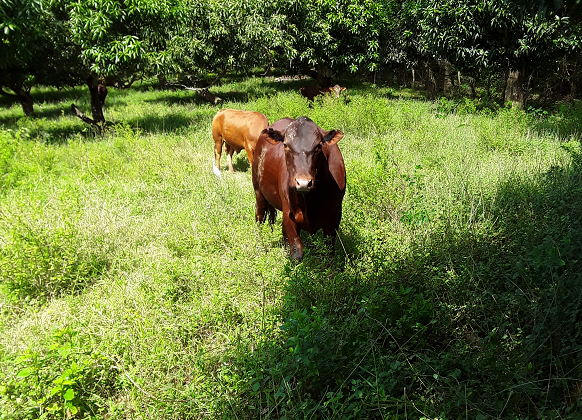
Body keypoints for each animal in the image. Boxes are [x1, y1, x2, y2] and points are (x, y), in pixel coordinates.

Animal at [252, 116, 346, 260]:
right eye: (285, 145)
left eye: (319, 146)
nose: (303, 183)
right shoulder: (289, 214)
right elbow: (297, 253)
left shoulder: (334, 217)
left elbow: (328, 253)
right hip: (258, 191)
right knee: (260, 216)